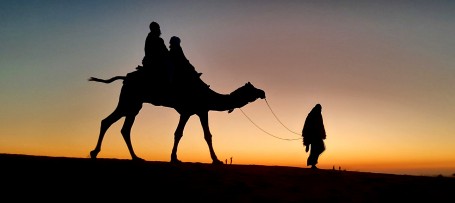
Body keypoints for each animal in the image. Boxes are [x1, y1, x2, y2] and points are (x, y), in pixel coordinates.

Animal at [88, 67, 266, 164]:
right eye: (251, 89)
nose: (262, 92)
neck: (208, 95)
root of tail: (124, 78)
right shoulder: (192, 110)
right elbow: (187, 134)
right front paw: (216, 160)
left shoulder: (197, 111)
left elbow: (198, 134)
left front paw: (175, 157)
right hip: (130, 100)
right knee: (111, 122)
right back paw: (96, 153)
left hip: (134, 104)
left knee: (120, 126)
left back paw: (134, 157)